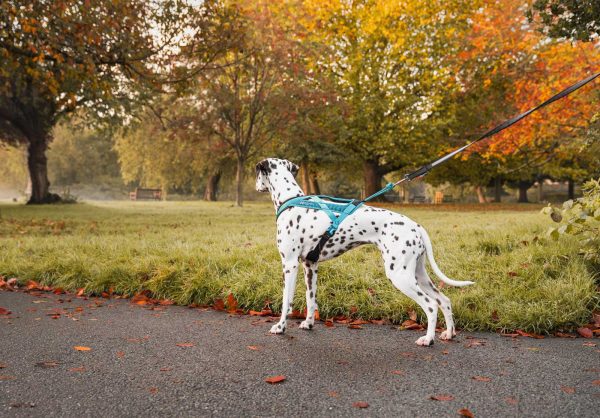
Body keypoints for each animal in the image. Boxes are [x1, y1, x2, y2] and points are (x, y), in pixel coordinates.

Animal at [255, 157, 476, 346]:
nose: (256, 186)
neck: (292, 200)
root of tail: (415, 225)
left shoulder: (289, 265)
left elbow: (286, 301)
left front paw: (280, 327)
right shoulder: (310, 266)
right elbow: (311, 299)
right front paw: (309, 323)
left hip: (400, 276)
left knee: (431, 305)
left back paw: (428, 339)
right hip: (418, 274)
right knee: (444, 301)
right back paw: (448, 333)